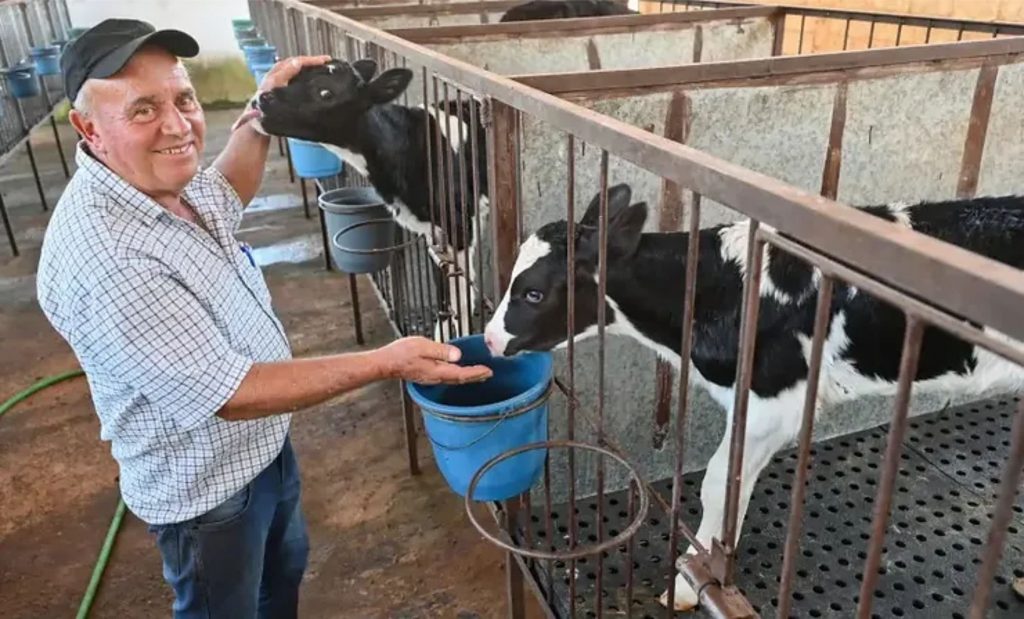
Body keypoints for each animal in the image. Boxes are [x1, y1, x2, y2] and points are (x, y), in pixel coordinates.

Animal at [248, 57, 487, 338]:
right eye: (293, 77)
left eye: (325, 93)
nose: (259, 100)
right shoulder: (433, 230)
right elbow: (443, 281)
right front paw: (442, 334)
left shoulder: (460, 222)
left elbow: (461, 291)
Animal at [481, 182, 1024, 610]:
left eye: (532, 293)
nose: (488, 339)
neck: (720, 291)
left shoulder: (773, 402)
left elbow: (719, 483)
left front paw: (689, 581)